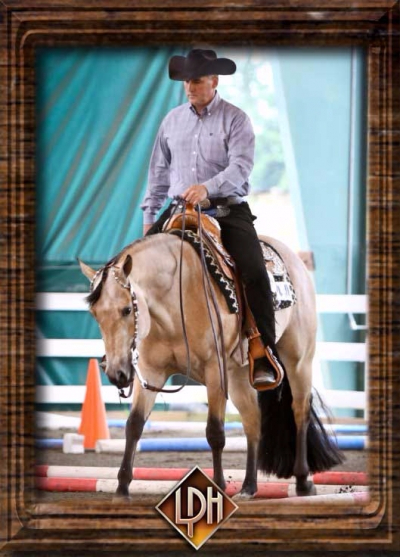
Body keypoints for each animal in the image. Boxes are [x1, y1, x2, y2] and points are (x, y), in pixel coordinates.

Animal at [79, 223, 344, 500]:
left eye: (127, 310)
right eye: (95, 313)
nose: (116, 373)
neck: (176, 296)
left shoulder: (214, 371)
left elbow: (215, 432)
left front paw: (218, 487)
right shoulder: (151, 373)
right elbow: (134, 425)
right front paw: (122, 488)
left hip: (298, 360)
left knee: (299, 411)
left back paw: (303, 481)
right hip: (239, 376)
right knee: (253, 422)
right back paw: (248, 487)